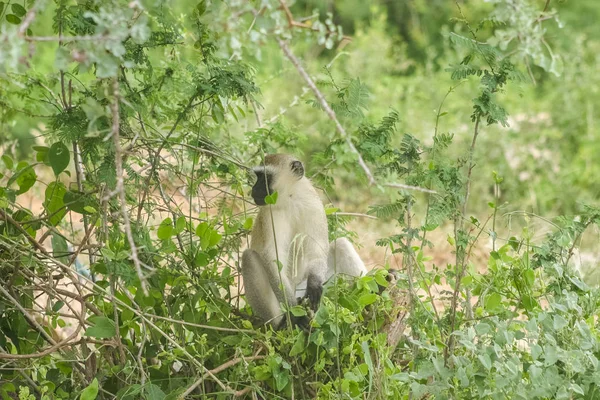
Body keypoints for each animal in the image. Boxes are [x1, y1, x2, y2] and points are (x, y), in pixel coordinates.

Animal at [240, 153, 366, 328]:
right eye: (258, 176)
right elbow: (272, 257)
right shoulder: (269, 215)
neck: (291, 198)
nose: (254, 189)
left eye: (265, 177)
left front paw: (314, 283)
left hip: (303, 288)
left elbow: (317, 249)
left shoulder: (314, 206)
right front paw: (294, 312)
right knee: (249, 258)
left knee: (341, 244)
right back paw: (281, 323)